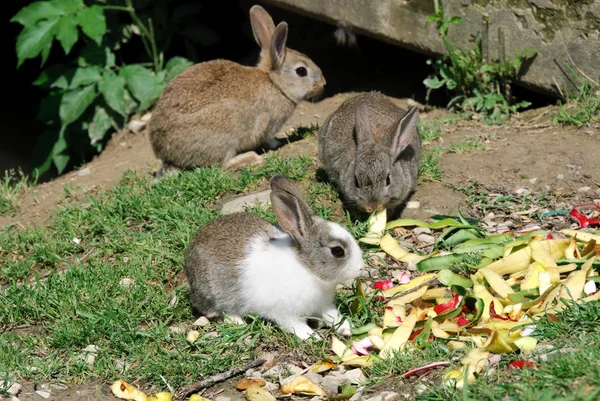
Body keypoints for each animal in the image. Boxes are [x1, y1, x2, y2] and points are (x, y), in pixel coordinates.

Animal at [150, 4, 328, 173]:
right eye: (301, 71)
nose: (323, 83)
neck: (275, 83)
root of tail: (168, 154)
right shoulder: (266, 125)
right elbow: (267, 139)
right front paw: (278, 143)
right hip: (225, 134)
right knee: (222, 163)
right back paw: (251, 158)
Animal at [183, 174, 364, 338]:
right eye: (338, 251)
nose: (361, 268)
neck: (307, 269)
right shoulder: (285, 314)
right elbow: (296, 325)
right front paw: (312, 337)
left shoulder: (323, 306)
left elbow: (333, 316)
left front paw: (347, 328)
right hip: (215, 293)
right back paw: (238, 321)